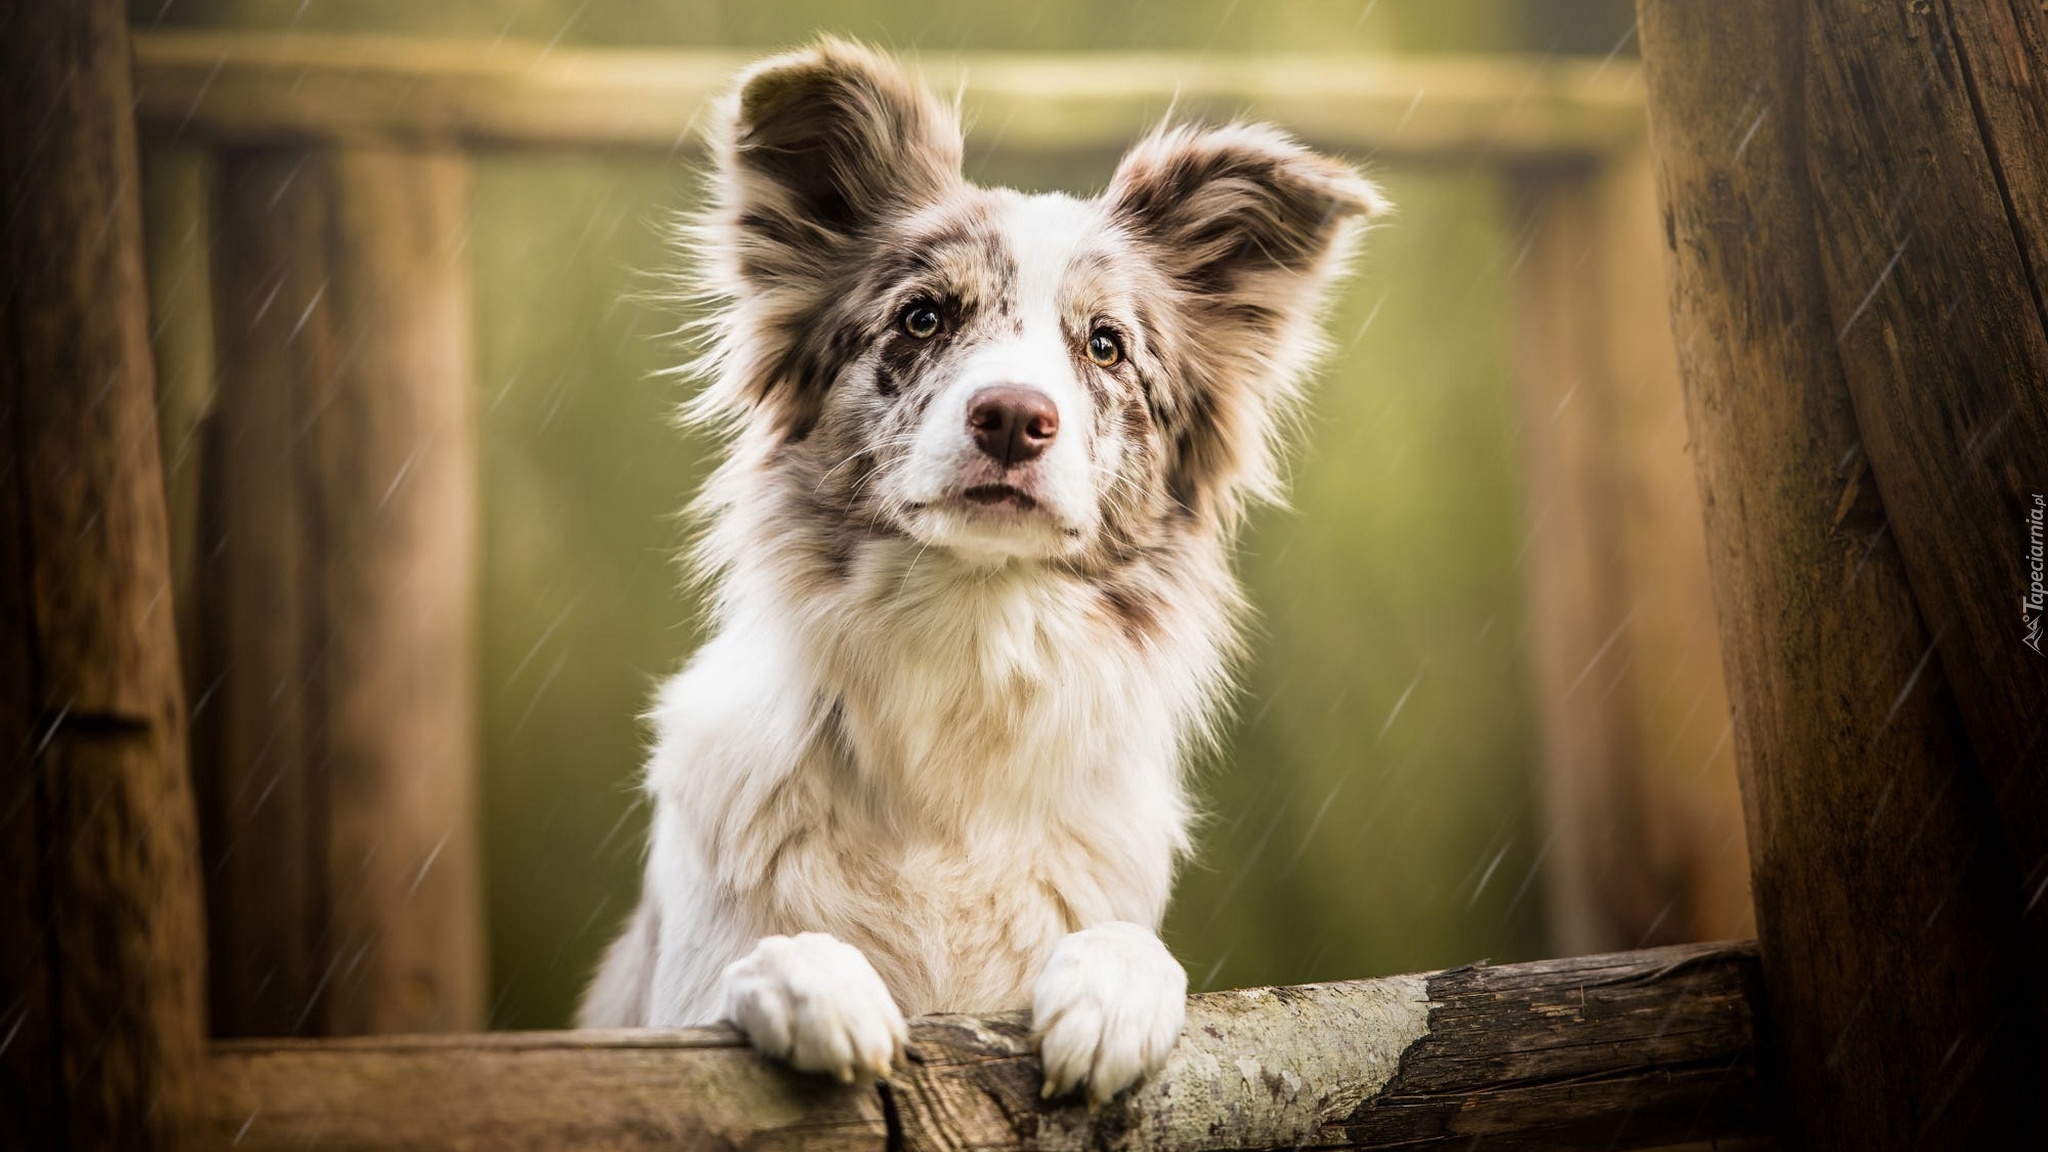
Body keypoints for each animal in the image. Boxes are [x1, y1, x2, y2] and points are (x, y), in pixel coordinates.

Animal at [577, 38, 1392, 1106]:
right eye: (923, 318)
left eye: (1106, 344)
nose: (1012, 416)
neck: (970, 629)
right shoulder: (664, 1010)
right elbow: (746, 973)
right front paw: (811, 980)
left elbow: (1141, 950)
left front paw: (1112, 991)